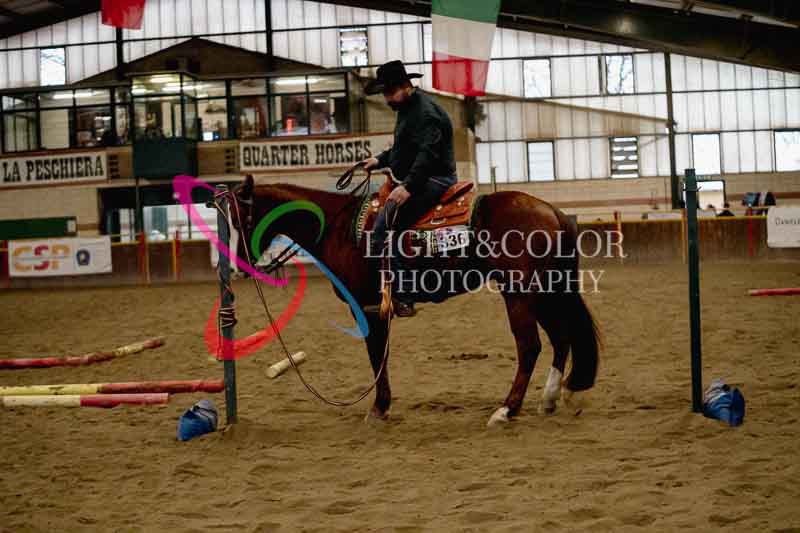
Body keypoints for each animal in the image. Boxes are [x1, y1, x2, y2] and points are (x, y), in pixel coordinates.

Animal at [228, 172, 599, 427]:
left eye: (239, 219)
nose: (238, 266)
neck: (339, 228)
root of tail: (551, 211)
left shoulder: (367, 307)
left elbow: (376, 356)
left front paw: (378, 408)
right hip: (545, 292)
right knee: (562, 338)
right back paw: (549, 399)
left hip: (520, 293)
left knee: (530, 346)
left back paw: (506, 410)